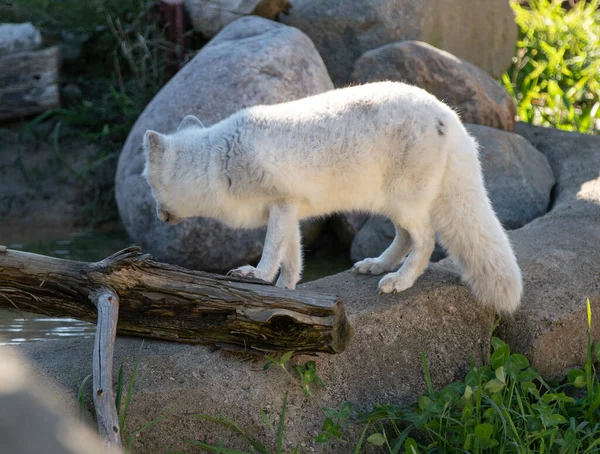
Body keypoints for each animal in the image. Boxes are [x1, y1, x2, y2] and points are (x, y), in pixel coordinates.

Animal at [143, 81, 524, 314]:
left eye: (149, 185)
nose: (159, 216)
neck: (218, 161)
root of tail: (451, 118)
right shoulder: (289, 209)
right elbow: (292, 257)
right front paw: (285, 290)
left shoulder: (281, 205)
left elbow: (272, 251)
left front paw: (258, 277)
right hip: (392, 204)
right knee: (405, 237)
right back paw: (378, 265)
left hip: (406, 203)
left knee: (426, 240)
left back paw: (399, 281)